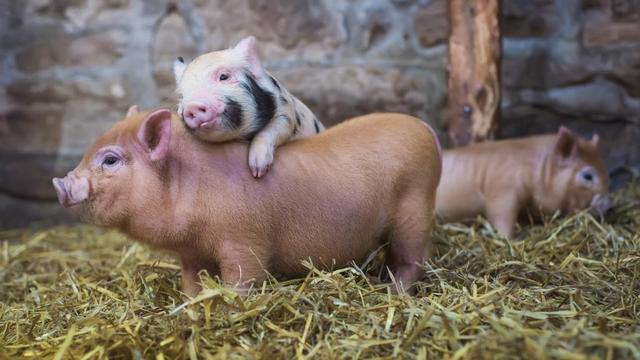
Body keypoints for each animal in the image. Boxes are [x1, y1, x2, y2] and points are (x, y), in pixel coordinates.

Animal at [52, 108, 442, 296]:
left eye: (110, 160)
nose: (61, 183)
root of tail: (425, 129)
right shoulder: (191, 252)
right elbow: (191, 282)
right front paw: (192, 304)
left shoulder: (244, 240)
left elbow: (243, 278)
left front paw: (230, 303)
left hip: (416, 209)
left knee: (413, 259)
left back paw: (394, 292)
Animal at [171, 36, 324, 177]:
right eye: (182, 96)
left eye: (224, 76)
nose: (192, 106)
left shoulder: (286, 112)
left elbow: (273, 129)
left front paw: (257, 172)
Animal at [438, 126, 612, 239]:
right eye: (588, 176)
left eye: (605, 170)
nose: (610, 205)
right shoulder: (502, 192)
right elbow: (502, 217)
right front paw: (511, 239)